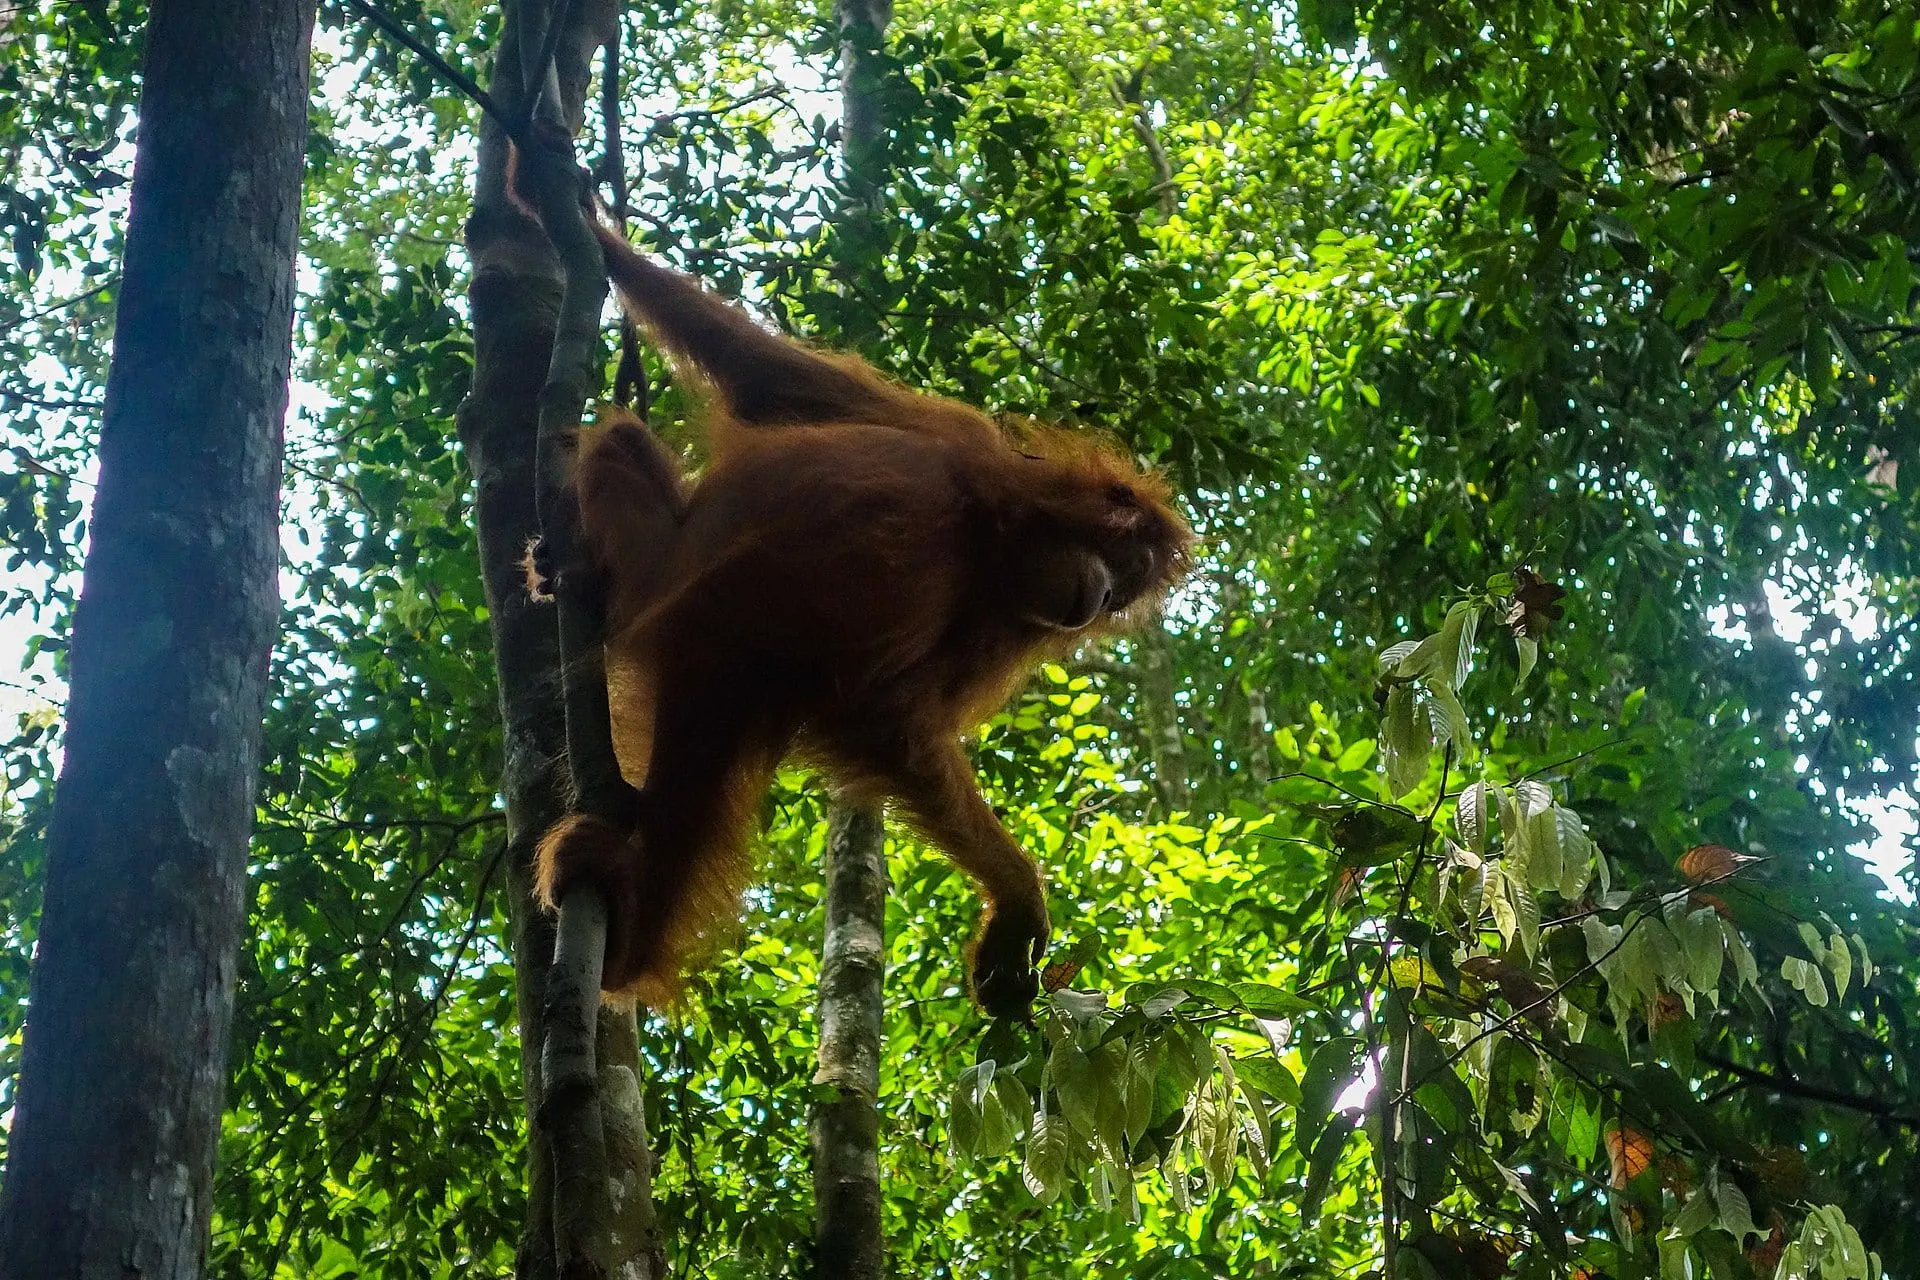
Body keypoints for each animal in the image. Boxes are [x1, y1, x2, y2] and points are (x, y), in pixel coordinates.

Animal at [529, 194, 1192, 1019]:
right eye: (1125, 565)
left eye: (1123, 592)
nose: (1101, 597)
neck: (981, 532)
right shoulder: (952, 435)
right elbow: (773, 379)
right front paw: (571, 212)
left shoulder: (981, 631)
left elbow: (884, 716)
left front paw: (1015, 896)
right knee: (625, 441)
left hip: (708, 676)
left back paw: (626, 932)